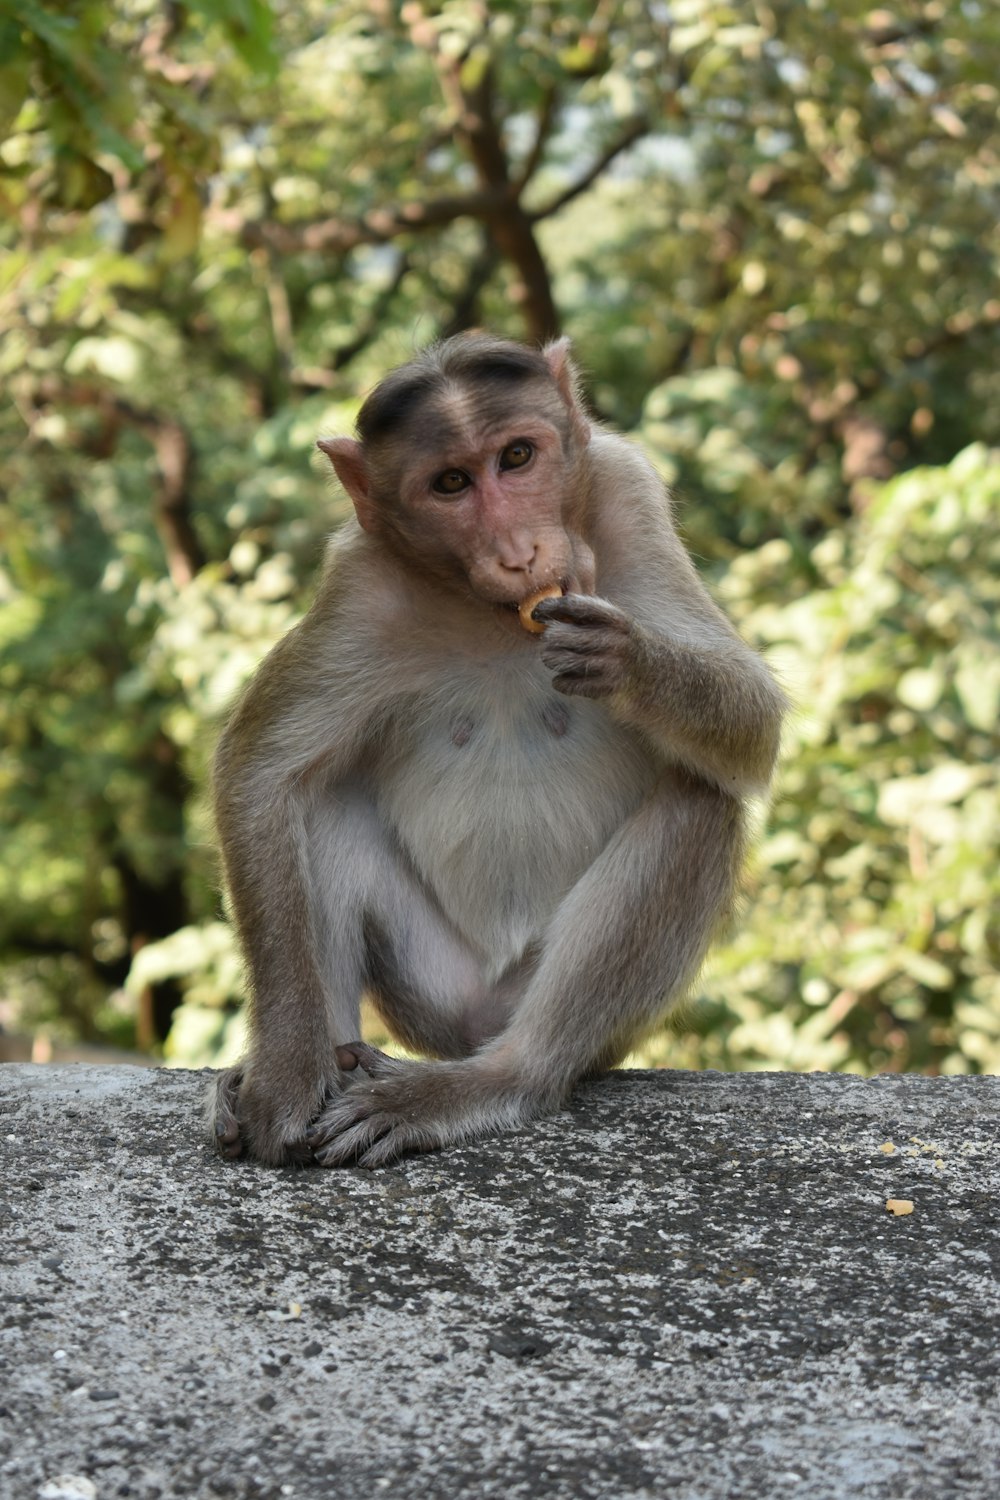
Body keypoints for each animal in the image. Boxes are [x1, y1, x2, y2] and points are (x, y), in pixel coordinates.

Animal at [209, 334, 791, 1164]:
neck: (490, 612)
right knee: (314, 803)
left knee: (701, 798)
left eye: (517, 457)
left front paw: (628, 661)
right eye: (451, 483)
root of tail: (476, 1029)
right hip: (431, 990)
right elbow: (260, 772)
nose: (519, 554)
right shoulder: (359, 583)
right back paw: (334, 1059)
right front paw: (286, 1073)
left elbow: (754, 720)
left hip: (575, 1017)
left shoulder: (629, 492)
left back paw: (501, 1078)